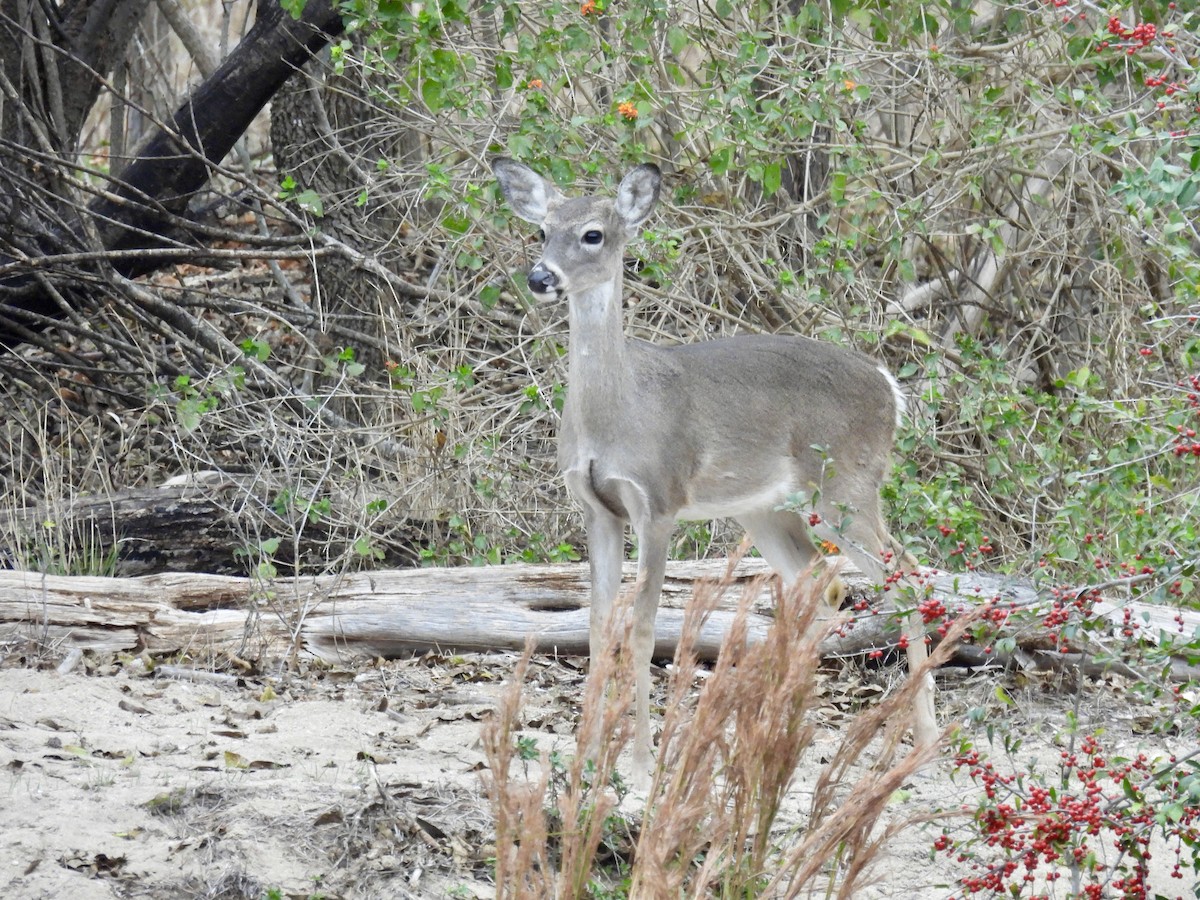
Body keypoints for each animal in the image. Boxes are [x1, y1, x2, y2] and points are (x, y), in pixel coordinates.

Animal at [491, 157, 939, 779]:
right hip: (769, 510)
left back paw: (925, 741)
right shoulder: (596, 507)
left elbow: (644, 628)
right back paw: (782, 731)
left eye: (593, 234)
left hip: (846, 484)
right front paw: (586, 753)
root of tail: (889, 386)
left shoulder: (658, 500)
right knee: (820, 584)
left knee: (907, 575)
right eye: (541, 231)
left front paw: (641, 759)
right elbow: (598, 625)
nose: (540, 278)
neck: (616, 415)